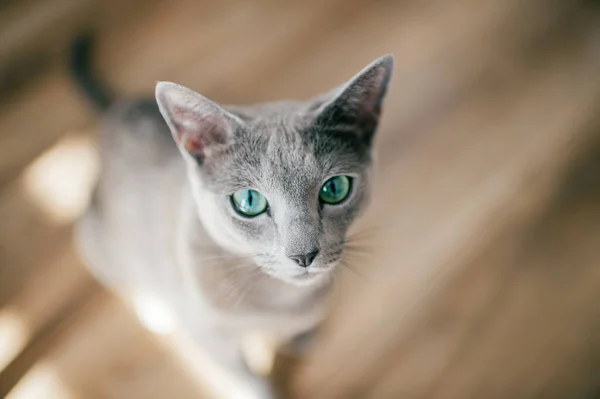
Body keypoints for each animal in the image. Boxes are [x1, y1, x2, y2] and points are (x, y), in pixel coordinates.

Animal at [70, 34, 394, 399]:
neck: (280, 300)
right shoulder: (212, 341)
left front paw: (300, 337)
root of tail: (118, 109)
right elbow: (248, 381)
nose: (304, 254)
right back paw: (156, 310)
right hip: (95, 240)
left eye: (335, 188)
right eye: (249, 201)